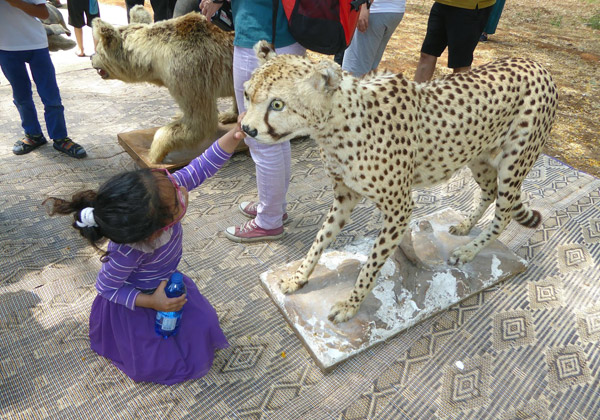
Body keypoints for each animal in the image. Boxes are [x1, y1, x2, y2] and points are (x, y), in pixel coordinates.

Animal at [243, 41, 556, 324]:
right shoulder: (345, 197)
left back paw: (468, 250)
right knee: (489, 192)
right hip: (477, 155)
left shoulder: (400, 207)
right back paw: (466, 225)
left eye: (277, 104)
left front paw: (350, 304)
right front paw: (299, 278)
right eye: (246, 94)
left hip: (513, 164)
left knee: (504, 213)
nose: (246, 129)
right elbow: (320, 240)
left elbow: (371, 264)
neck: (336, 125)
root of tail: (536, 64)